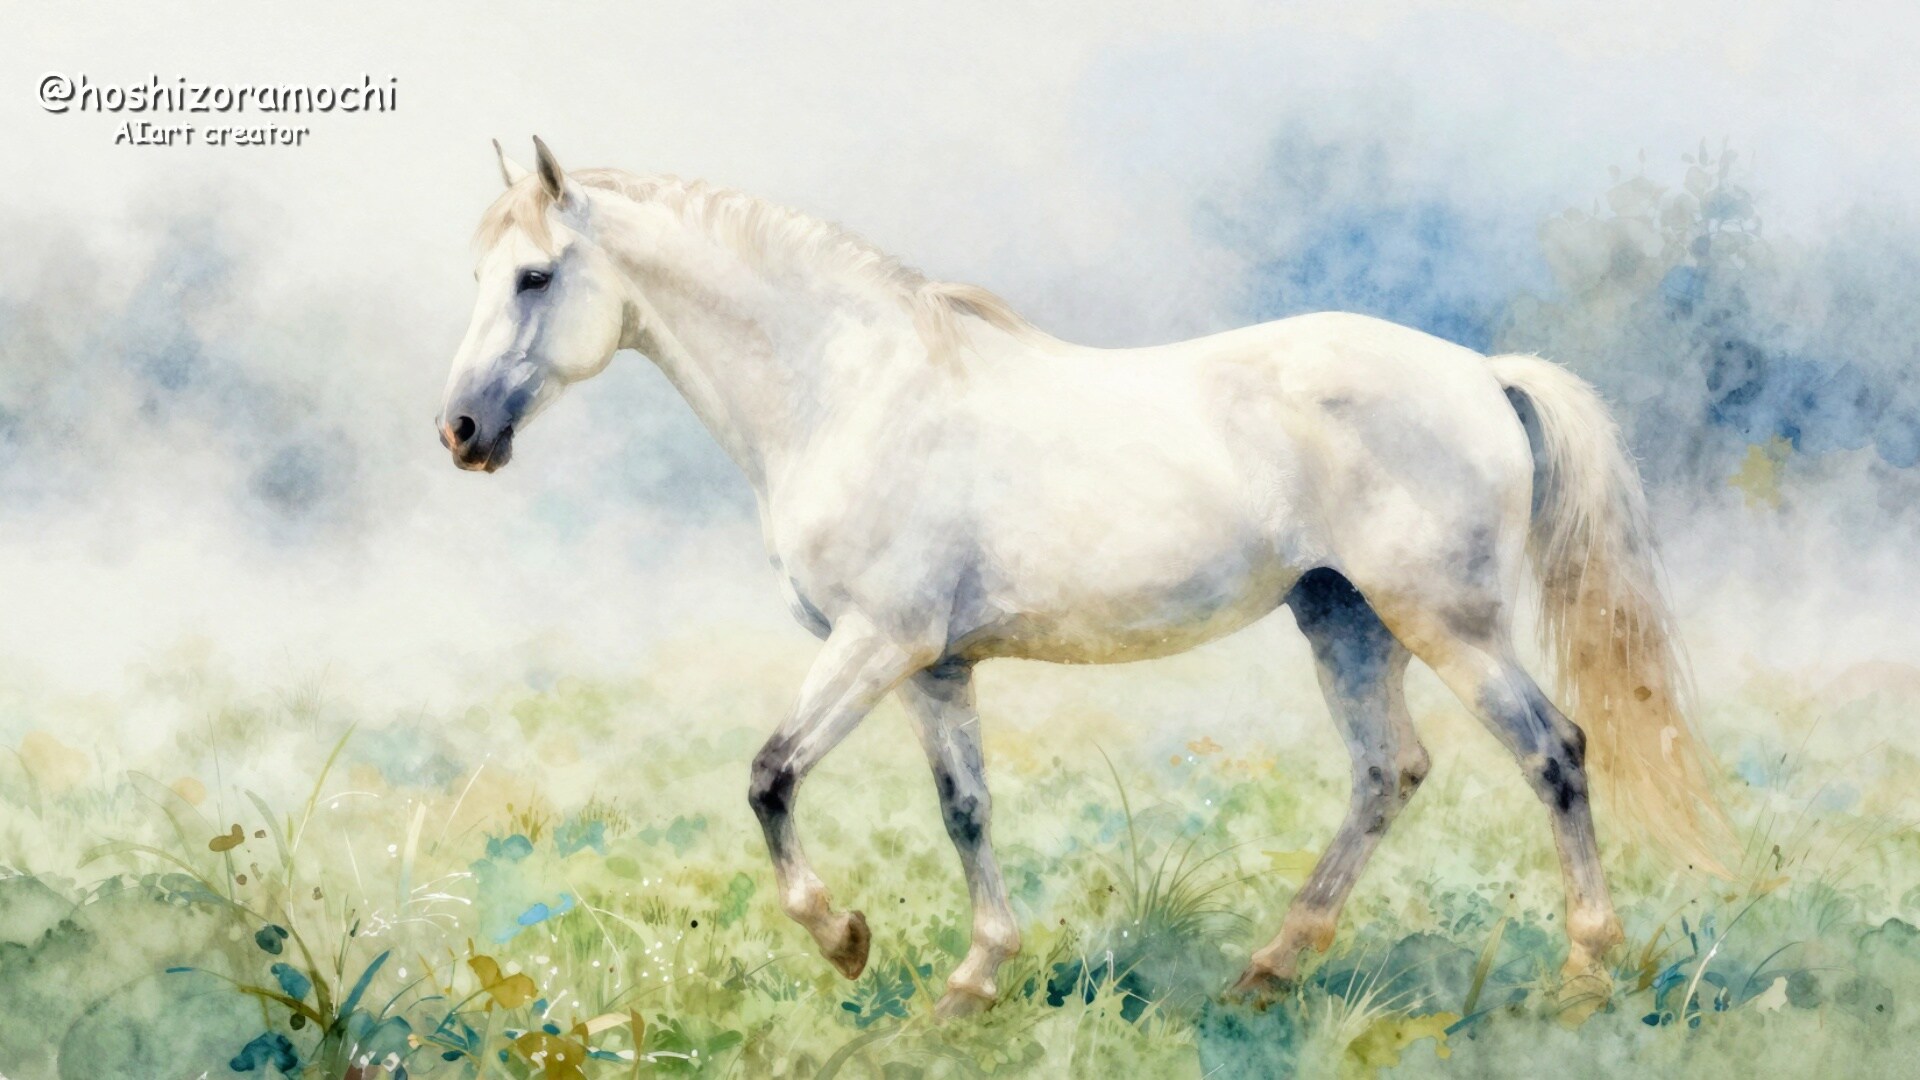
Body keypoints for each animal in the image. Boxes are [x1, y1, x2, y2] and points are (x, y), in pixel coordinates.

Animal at [438, 138, 1725, 1019]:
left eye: (537, 277)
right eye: (481, 276)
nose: (460, 432)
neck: (848, 389)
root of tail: (1480, 372)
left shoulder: (877, 641)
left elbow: (769, 777)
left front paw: (845, 939)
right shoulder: (934, 668)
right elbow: (964, 807)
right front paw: (972, 982)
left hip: (1445, 622)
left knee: (1553, 752)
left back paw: (1585, 971)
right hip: (1345, 619)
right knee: (1387, 771)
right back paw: (1270, 968)